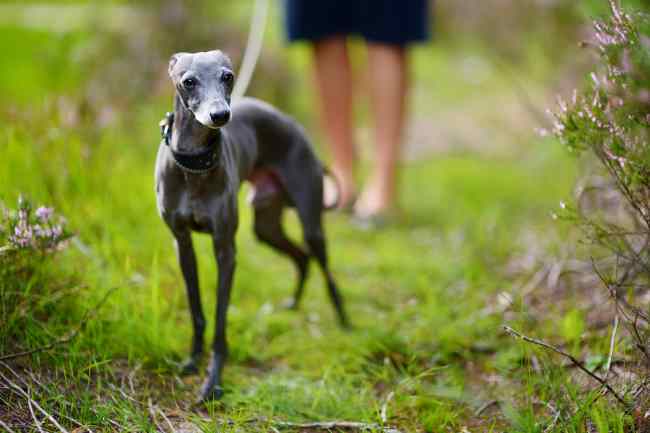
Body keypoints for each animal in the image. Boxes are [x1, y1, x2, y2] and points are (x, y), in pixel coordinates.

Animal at [156, 50, 346, 402]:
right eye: (188, 81)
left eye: (228, 76)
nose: (220, 115)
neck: (193, 166)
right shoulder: (182, 243)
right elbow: (197, 310)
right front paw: (192, 360)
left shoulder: (225, 249)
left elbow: (220, 319)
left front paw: (213, 381)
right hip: (266, 227)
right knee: (301, 257)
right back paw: (293, 303)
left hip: (311, 221)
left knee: (324, 270)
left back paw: (345, 322)